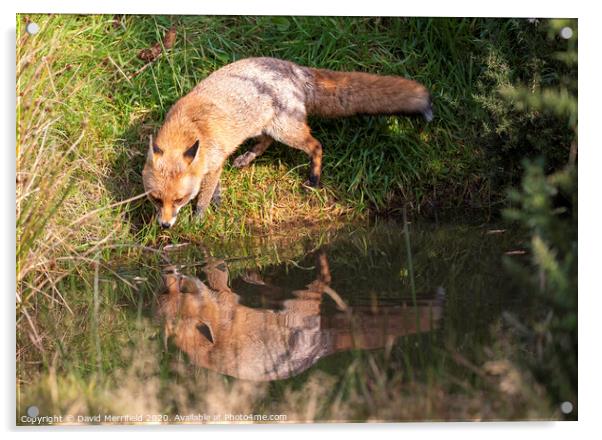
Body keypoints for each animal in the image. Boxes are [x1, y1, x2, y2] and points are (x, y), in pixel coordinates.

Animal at [141, 57, 432, 229]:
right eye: (155, 199)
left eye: (179, 199)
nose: (164, 225)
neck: (190, 126)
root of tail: (293, 68)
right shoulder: (212, 161)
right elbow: (213, 185)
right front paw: (217, 199)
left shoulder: (212, 160)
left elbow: (204, 196)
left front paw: (199, 217)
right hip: (268, 126)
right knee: (266, 141)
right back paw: (247, 157)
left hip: (287, 130)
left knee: (316, 145)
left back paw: (313, 178)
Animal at [157, 253, 442, 380]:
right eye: (165, 291)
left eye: (180, 291)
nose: (169, 274)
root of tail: (324, 349)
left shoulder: (225, 301)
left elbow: (217, 273)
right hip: (294, 303)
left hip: (296, 305)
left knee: (323, 280)